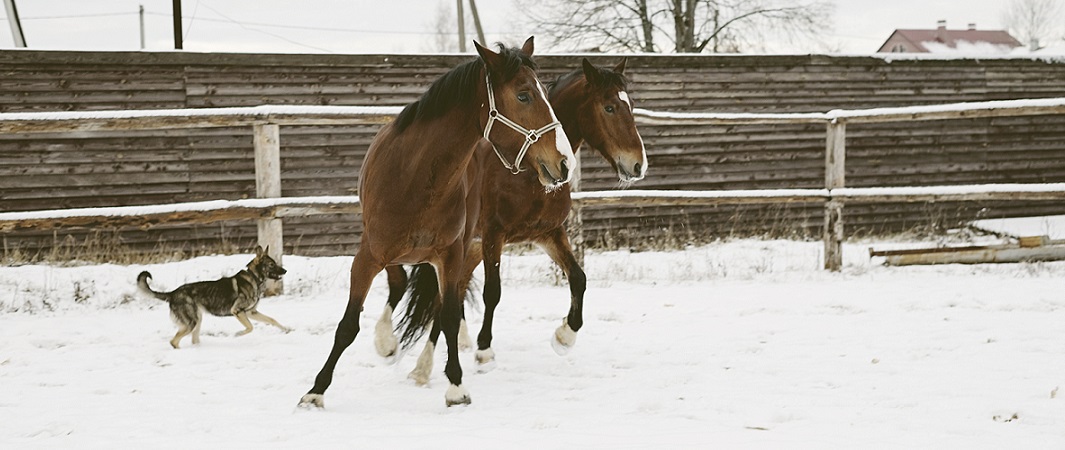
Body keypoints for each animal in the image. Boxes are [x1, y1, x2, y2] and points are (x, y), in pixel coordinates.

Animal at [136, 246, 291, 348]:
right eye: (271, 264)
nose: (285, 271)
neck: (253, 277)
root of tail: (173, 293)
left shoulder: (251, 312)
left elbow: (272, 320)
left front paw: (286, 329)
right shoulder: (238, 312)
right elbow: (250, 327)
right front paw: (237, 334)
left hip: (197, 320)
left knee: (192, 340)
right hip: (191, 322)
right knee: (173, 342)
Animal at [300, 38, 575, 410]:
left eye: (545, 93)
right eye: (523, 96)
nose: (564, 163)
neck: (417, 178)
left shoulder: (450, 256)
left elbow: (448, 317)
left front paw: (456, 387)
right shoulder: (367, 256)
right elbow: (348, 326)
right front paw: (315, 391)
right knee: (398, 283)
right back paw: (387, 342)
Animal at [379, 57, 643, 385]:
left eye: (630, 104)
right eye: (609, 107)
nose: (638, 164)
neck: (528, 173)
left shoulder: (549, 234)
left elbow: (578, 278)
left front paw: (564, 336)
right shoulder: (495, 235)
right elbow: (493, 292)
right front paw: (484, 351)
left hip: (470, 248)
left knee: (452, 295)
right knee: (446, 298)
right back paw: (427, 365)